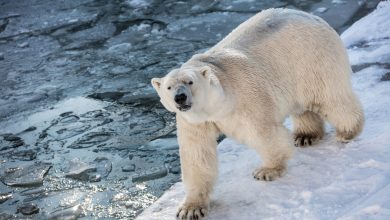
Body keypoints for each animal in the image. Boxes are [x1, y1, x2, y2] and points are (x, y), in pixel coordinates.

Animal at [152, 7, 362, 219]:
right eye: (169, 87)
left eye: (190, 82)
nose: (180, 97)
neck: (218, 104)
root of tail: (313, 17)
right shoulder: (194, 121)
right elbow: (197, 155)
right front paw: (191, 208)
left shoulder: (246, 95)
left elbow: (263, 132)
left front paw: (267, 171)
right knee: (303, 107)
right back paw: (305, 136)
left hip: (312, 60)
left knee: (330, 97)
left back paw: (347, 131)